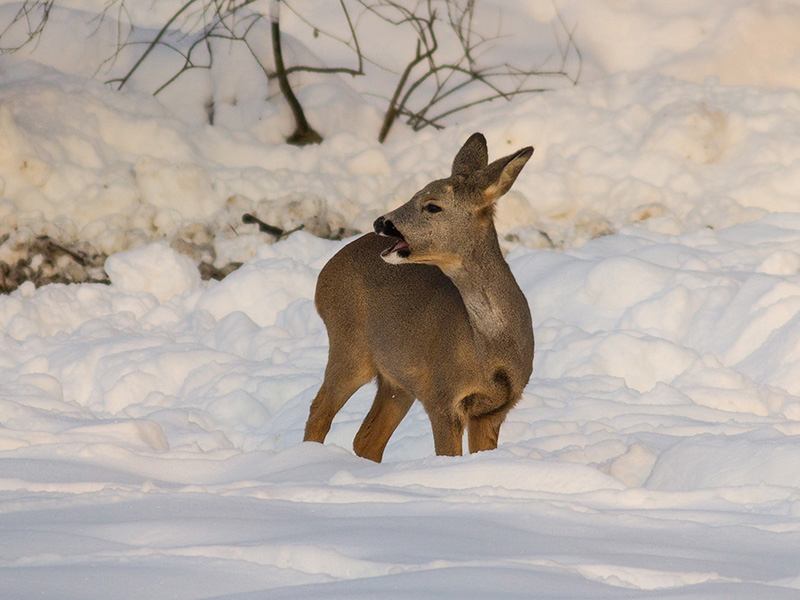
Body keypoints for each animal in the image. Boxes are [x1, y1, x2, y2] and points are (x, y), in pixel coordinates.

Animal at [304, 134, 536, 462]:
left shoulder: (496, 408)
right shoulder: (443, 396)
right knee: (319, 410)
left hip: (397, 379)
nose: (381, 222)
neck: (488, 349)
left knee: (366, 439)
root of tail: (324, 273)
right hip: (350, 345)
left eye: (433, 206)